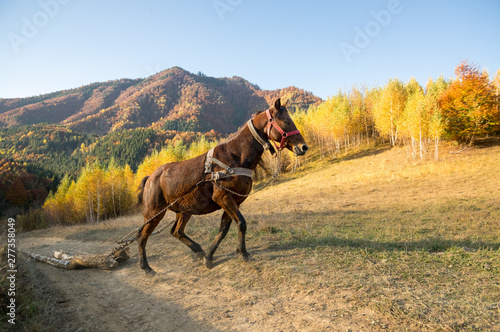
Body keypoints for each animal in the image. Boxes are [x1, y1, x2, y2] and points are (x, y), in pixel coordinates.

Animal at [138, 98, 308, 274]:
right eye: (287, 121)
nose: (303, 147)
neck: (235, 156)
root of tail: (151, 178)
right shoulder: (223, 197)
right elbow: (241, 224)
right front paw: (241, 253)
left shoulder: (234, 201)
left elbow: (226, 229)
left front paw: (213, 256)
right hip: (154, 214)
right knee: (142, 237)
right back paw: (146, 267)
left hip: (184, 211)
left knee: (176, 232)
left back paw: (199, 251)